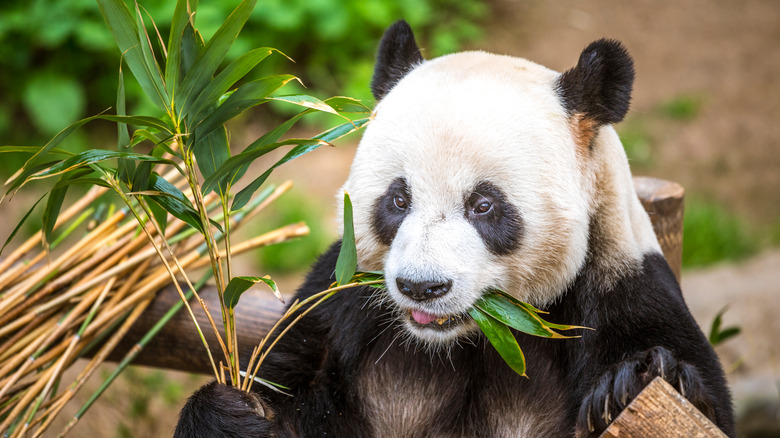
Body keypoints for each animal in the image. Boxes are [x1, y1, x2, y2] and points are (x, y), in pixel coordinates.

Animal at [175, 21, 735, 437]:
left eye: (483, 206)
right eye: (398, 199)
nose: (422, 287)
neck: (468, 338)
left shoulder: (618, 278)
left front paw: (629, 383)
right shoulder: (339, 303)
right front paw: (233, 416)